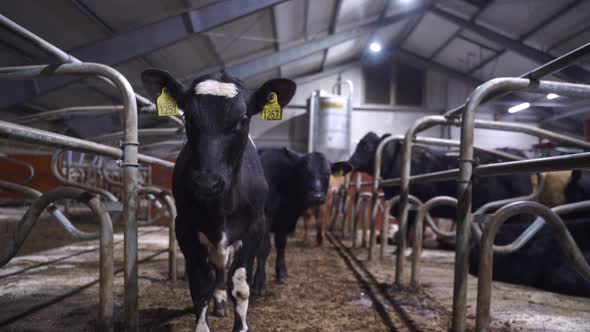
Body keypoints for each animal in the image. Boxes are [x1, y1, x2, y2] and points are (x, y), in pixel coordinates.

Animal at [142, 68, 298, 332]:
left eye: (242, 119)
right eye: (188, 117)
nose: (207, 182)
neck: (221, 206)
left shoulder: (254, 227)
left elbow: (241, 285)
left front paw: (241, 325)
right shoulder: (184, 227)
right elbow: (200, 283)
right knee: (217, 266)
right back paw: (219, 300)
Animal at [253, 148, 354, 294]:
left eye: (327, 174)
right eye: (304, 171)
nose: (317, 196)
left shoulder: (285, 220)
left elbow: (281, 244)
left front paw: (281, 272)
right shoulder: (265, 217)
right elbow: (263, 248)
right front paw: (259, 282)